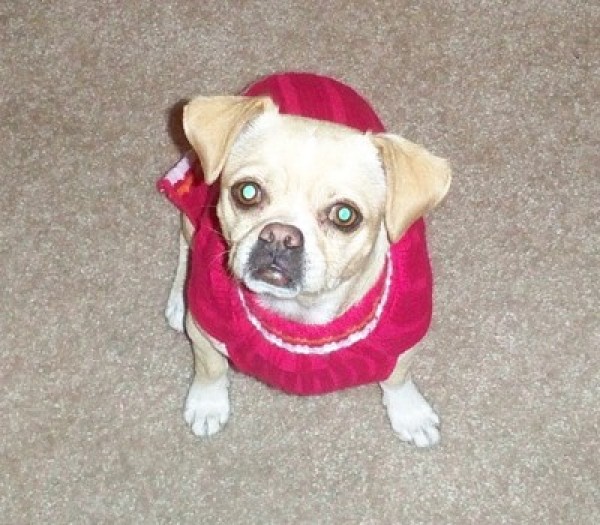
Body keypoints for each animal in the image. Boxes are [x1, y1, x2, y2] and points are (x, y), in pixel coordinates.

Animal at [159, 71, 450, 444]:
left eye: (345, 215)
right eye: (247, 192)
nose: (280, 236)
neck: (301, 313)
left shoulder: (404, 337)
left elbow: (398, 376)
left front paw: (410, 414)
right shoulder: (204, 327)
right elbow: (211, 368)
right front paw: (208, 404)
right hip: (195, 205)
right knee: (186, 244)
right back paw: (178, 301)